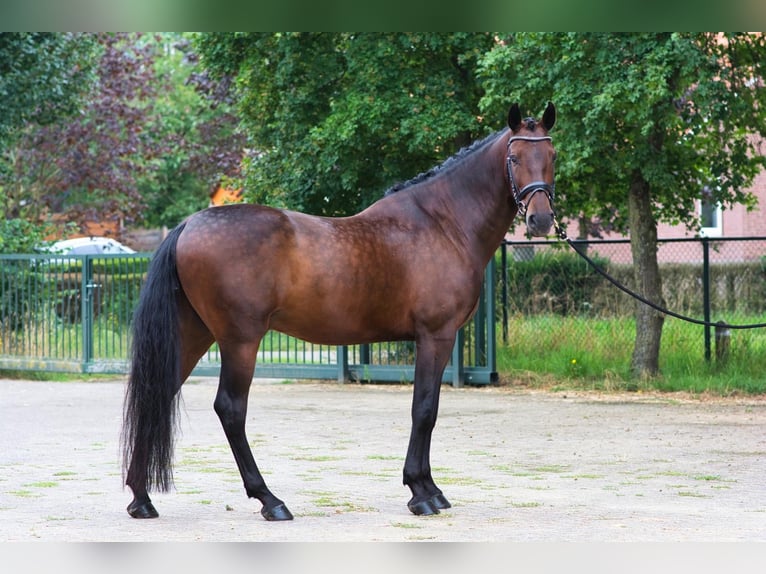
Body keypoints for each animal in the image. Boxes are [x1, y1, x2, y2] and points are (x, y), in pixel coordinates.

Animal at [123, 102, 560, 520]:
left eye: (551, 154)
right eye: (515, 157)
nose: (540, 219)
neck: (443, 223)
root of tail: (187, 226)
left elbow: (428, 407)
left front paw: (430, 488)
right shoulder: (435, 336)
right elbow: (424, 409)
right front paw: (421, 493)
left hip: (194, 333)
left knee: (159, 393)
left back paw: (142, 499)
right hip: (240, 340)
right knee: (230, 409)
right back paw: (270, 500)